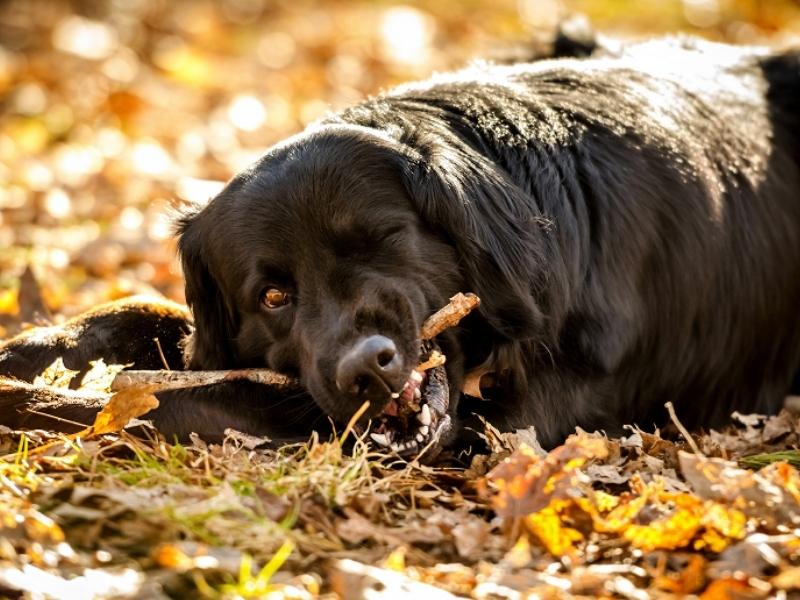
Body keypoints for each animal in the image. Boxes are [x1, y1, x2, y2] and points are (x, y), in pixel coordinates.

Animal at [4, 35, 800, 454]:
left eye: (383, 240)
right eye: (273, 295)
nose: (367, 369)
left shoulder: (518, 420)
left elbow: (198, 399)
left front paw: (33, 402)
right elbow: (152, 318)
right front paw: (36, 349)